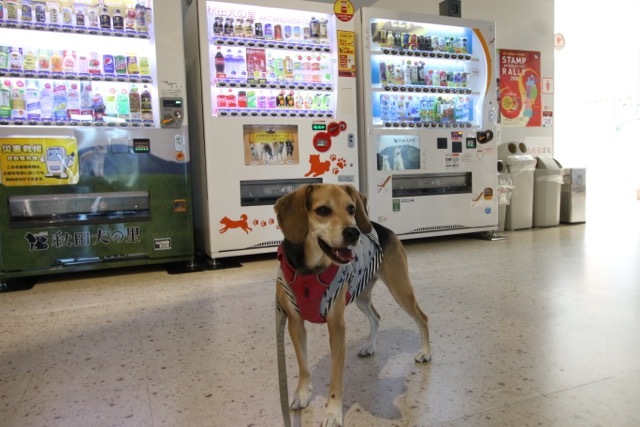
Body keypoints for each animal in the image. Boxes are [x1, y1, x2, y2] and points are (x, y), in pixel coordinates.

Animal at [274, 185, 430, 427]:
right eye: (322, 210)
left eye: (351, 209)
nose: (353, 233)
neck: (311, 271)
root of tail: (380, 226)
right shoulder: (294, 323)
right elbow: (303, 365)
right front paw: (302, 394)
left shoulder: (336, 326)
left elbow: (335, 378)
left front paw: (332, 414)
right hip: (361, 296)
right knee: (376, 317)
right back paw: (369, 346)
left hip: (400, 289)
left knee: (422, 318)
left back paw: (424, 352)